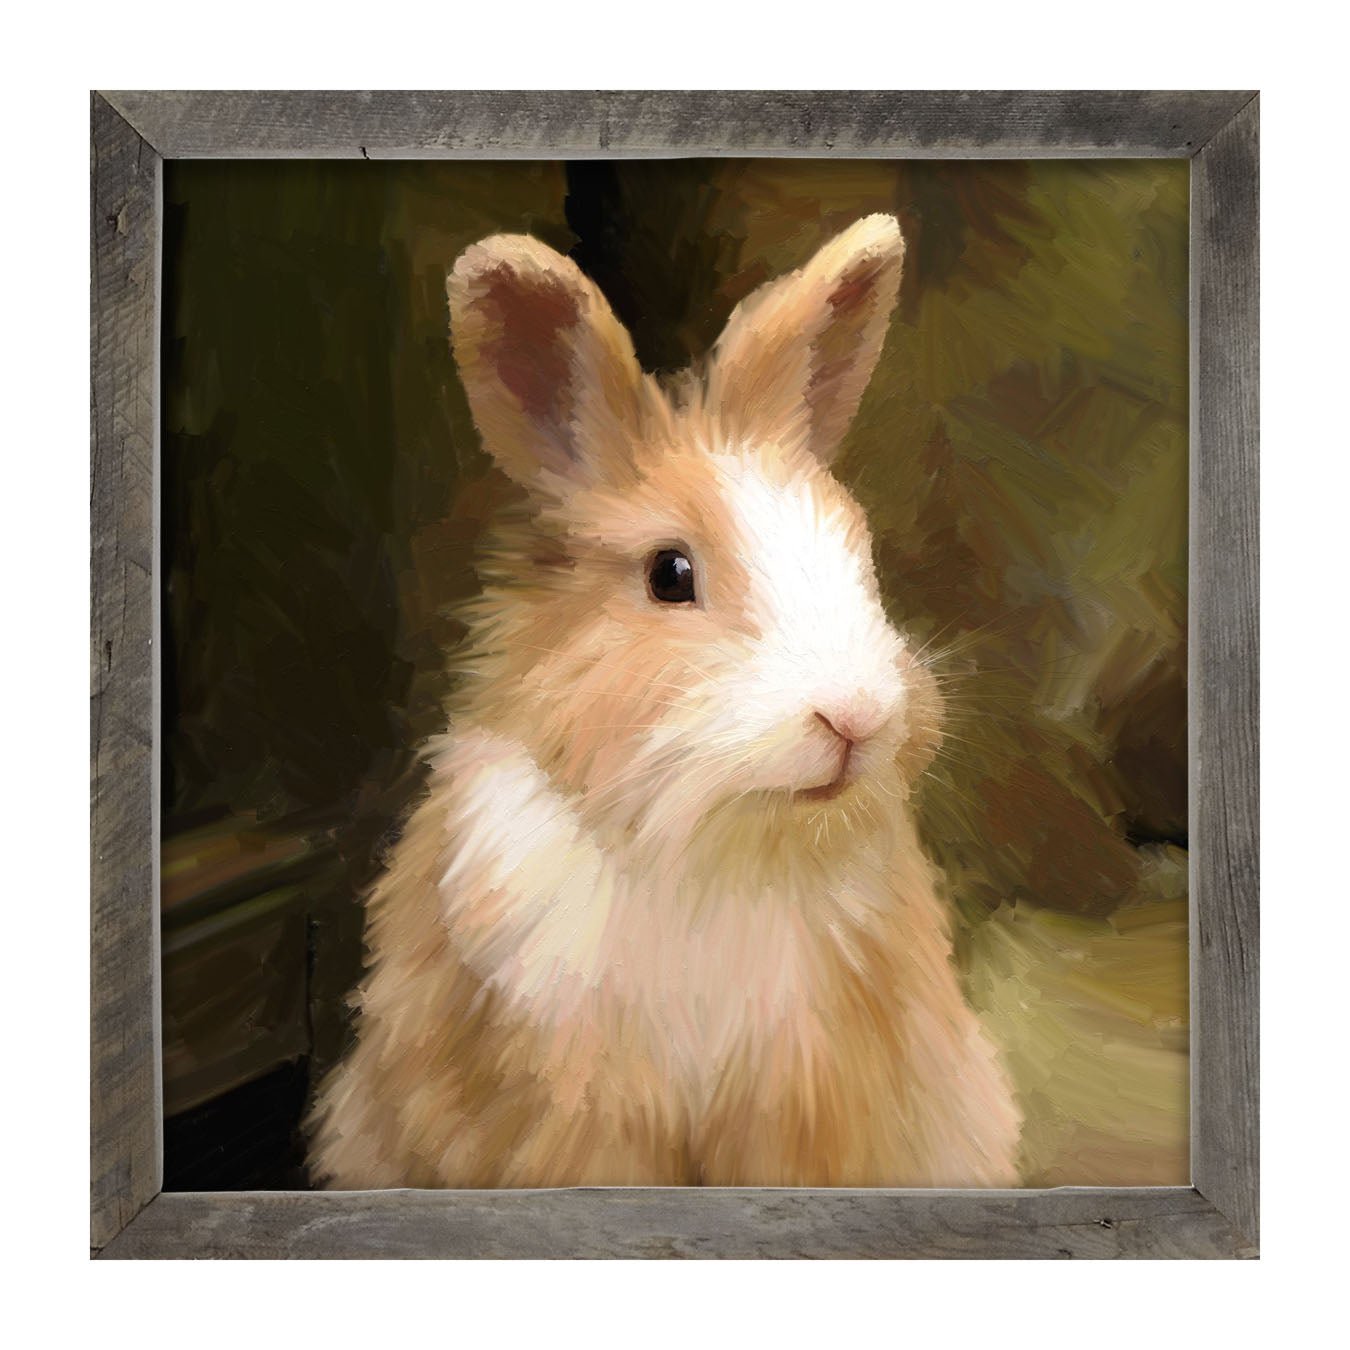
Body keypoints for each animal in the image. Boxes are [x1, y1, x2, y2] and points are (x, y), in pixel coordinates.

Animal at [308, 214, 1022, 1188]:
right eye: (669, 575)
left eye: (858, 551)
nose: (857, 716)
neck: (709, 849)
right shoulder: (576, 1103)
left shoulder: (807, 1097)